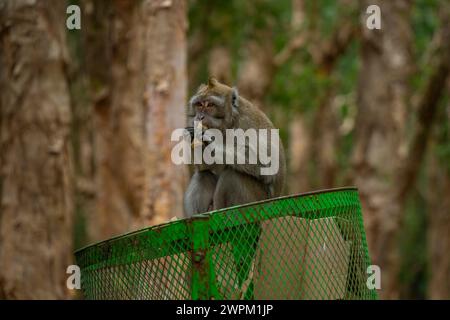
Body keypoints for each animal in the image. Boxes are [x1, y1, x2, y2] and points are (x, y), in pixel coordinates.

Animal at [183, 78, 284, 218]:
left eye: (210, 105)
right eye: (199, 105)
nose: (199, 117)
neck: (228, 124)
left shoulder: (246, 122)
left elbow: (268, 165)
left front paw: (209, 140)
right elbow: (205, 166)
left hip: (257, 204)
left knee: (232, 176)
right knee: (203, 175)